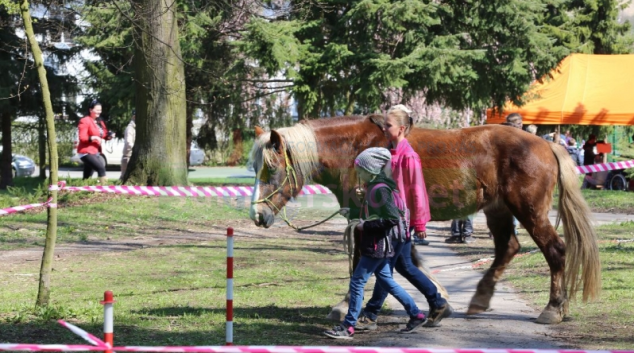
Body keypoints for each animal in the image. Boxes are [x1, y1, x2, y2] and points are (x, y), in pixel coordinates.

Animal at [247, 115, 596, 324]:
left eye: (272, 168)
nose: (257, 215)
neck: (354, 149)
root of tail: (546, 144)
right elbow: (410, 258)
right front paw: (440, 298)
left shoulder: (369, 218)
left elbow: (362, 262)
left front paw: (346, 306)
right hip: (498, 209)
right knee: (507, 248)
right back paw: (480, 300)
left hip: (528, 210)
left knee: (555, 250)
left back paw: (553, 308)